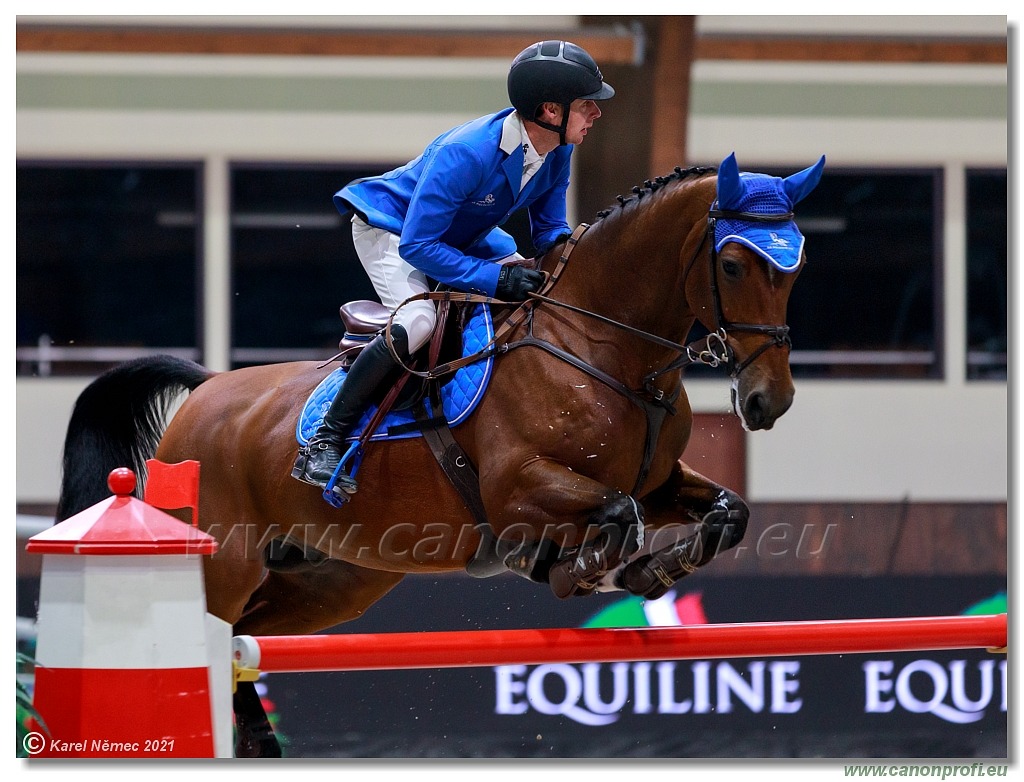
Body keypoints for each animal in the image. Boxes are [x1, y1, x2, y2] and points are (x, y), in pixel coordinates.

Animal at [54, 149, 823, 753]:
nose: (770, 401)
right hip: (227, 560)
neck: (606, 351)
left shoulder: (660, 481)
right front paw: (582, 573)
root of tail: (206, 391)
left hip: (330, 581)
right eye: (732, 264)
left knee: (246, 644)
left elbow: (726, 512)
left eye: (797, 267)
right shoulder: (519, 491)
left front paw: (651, 572)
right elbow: (616, 514)